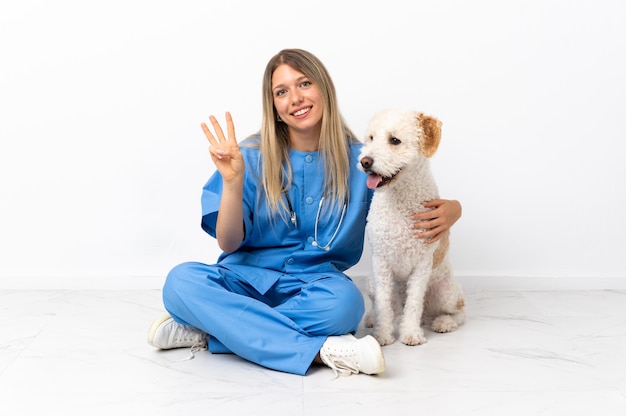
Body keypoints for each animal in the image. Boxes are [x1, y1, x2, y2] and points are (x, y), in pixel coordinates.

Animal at [356, 109, 464, 346]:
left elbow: (414, 303)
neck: (400, 199)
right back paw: (372, 318)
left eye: (395, 140)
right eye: (371, 138)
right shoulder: (381, 263)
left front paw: (411, 334)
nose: (365, 161)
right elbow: (384, 305)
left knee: (459, 311)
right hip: (371, 283)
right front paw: (383, 335)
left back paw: (444, 322)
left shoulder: (421, 265)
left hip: (447, 292)